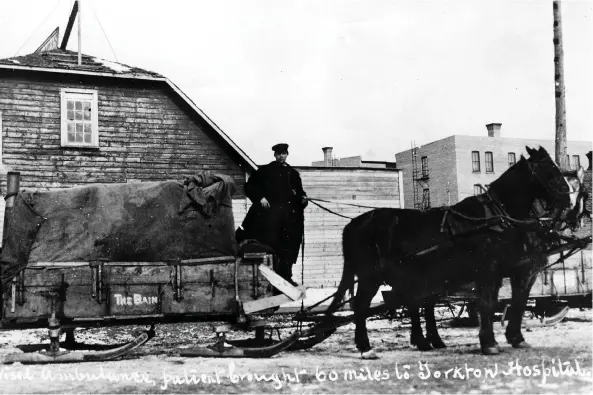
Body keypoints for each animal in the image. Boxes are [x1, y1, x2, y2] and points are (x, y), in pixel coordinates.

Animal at [328, 147, 584, 360]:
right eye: (547, 169)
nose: (569, 201)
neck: (498, 217)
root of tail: (354, 223)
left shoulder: (515, 270)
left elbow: (517, 302)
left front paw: (515, 338)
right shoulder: (492, 271)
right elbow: (489, 304)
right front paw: (489, 343)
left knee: (412, 303)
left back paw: (421, 341)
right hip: (371, 276)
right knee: (362, 306)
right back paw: (366, 348)